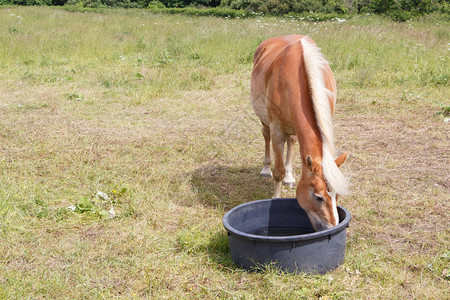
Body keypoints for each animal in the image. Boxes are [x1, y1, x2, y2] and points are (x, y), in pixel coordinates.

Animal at [251, 35, 350, 232]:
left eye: (337, 195)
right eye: (318, 196)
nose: (331, 228)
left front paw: (288, 177)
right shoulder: (277, 130)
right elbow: (278, 171)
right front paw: (275, 199)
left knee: (292, 142)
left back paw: (290, 177)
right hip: (266, 121)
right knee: (266, 136)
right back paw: (265, 169)